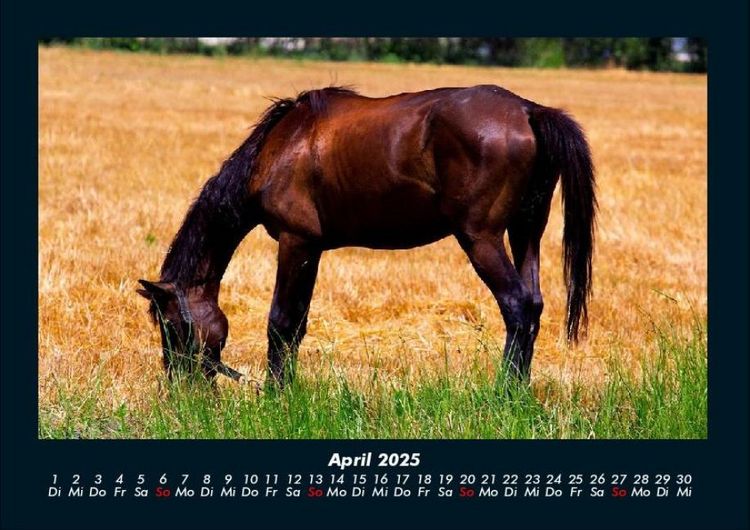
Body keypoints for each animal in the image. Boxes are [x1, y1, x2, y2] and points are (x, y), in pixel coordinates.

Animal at [137, 84, 596, 387]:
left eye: (172, 326)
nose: (181, 389)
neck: (280, 147)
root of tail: (529, 111)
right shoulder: (313, 248)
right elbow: (297, 324)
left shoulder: (294, 242)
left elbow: (280, 322)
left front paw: (275, 395)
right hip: (525, 233)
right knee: (533, 304)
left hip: (481, 238)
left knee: (517, 306)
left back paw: (504, 393)